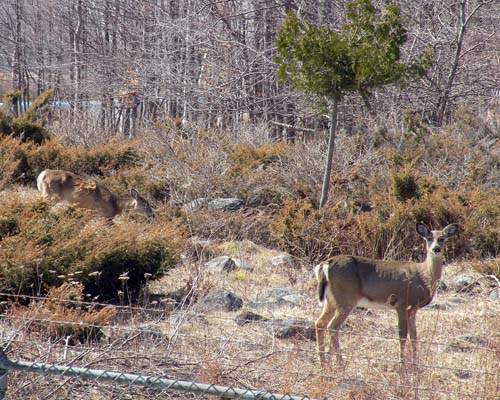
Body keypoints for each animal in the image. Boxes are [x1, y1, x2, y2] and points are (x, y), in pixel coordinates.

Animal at [314, 223, 458, 368]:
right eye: (428, 238)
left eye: (442, 238)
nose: (436, 249)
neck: (424, 276)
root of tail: (325, 264)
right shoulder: (402, 304)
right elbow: (402, 336)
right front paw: (402, 365)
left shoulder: (413, 309)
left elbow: (414, 337)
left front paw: (415, 365)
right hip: (346, 298)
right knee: (333, 327)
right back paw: (340, 363)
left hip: (331, 300)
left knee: (320, 323)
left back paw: (324, 363)